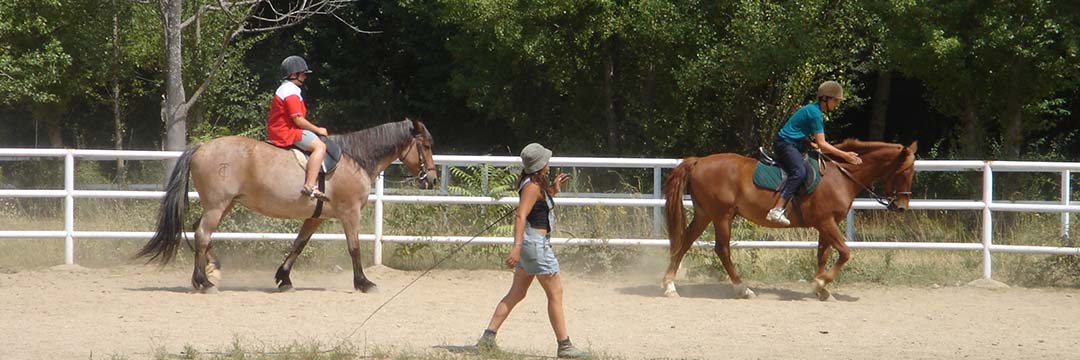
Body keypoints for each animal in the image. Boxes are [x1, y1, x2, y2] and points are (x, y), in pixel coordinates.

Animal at [135, 118, 434, 294]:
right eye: (427, 145)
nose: (430, 179)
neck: (356, 159)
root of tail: (200, 148)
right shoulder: (350, 213)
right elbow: (354, 248)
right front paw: (363, 283)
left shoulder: (316, 217)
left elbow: (298, 244)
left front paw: (284, 278)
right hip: (217, 206)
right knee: (202, 234)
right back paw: (203, 281)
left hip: (224, 205)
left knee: (200, 231)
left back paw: (213, 269)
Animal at [660, 140, 915, 300]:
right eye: (904, 172)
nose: (901, 207)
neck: (841, 175)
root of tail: (699, 161)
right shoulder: (826, 222)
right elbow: (845, 253)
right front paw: (821, 283)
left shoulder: (824, 224)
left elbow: (822, 255)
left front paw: (821, 289)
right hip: (721, 215)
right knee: (722, 249)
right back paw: (742, 289)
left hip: (704, 214)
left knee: (685, 243)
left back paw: (670, 286)